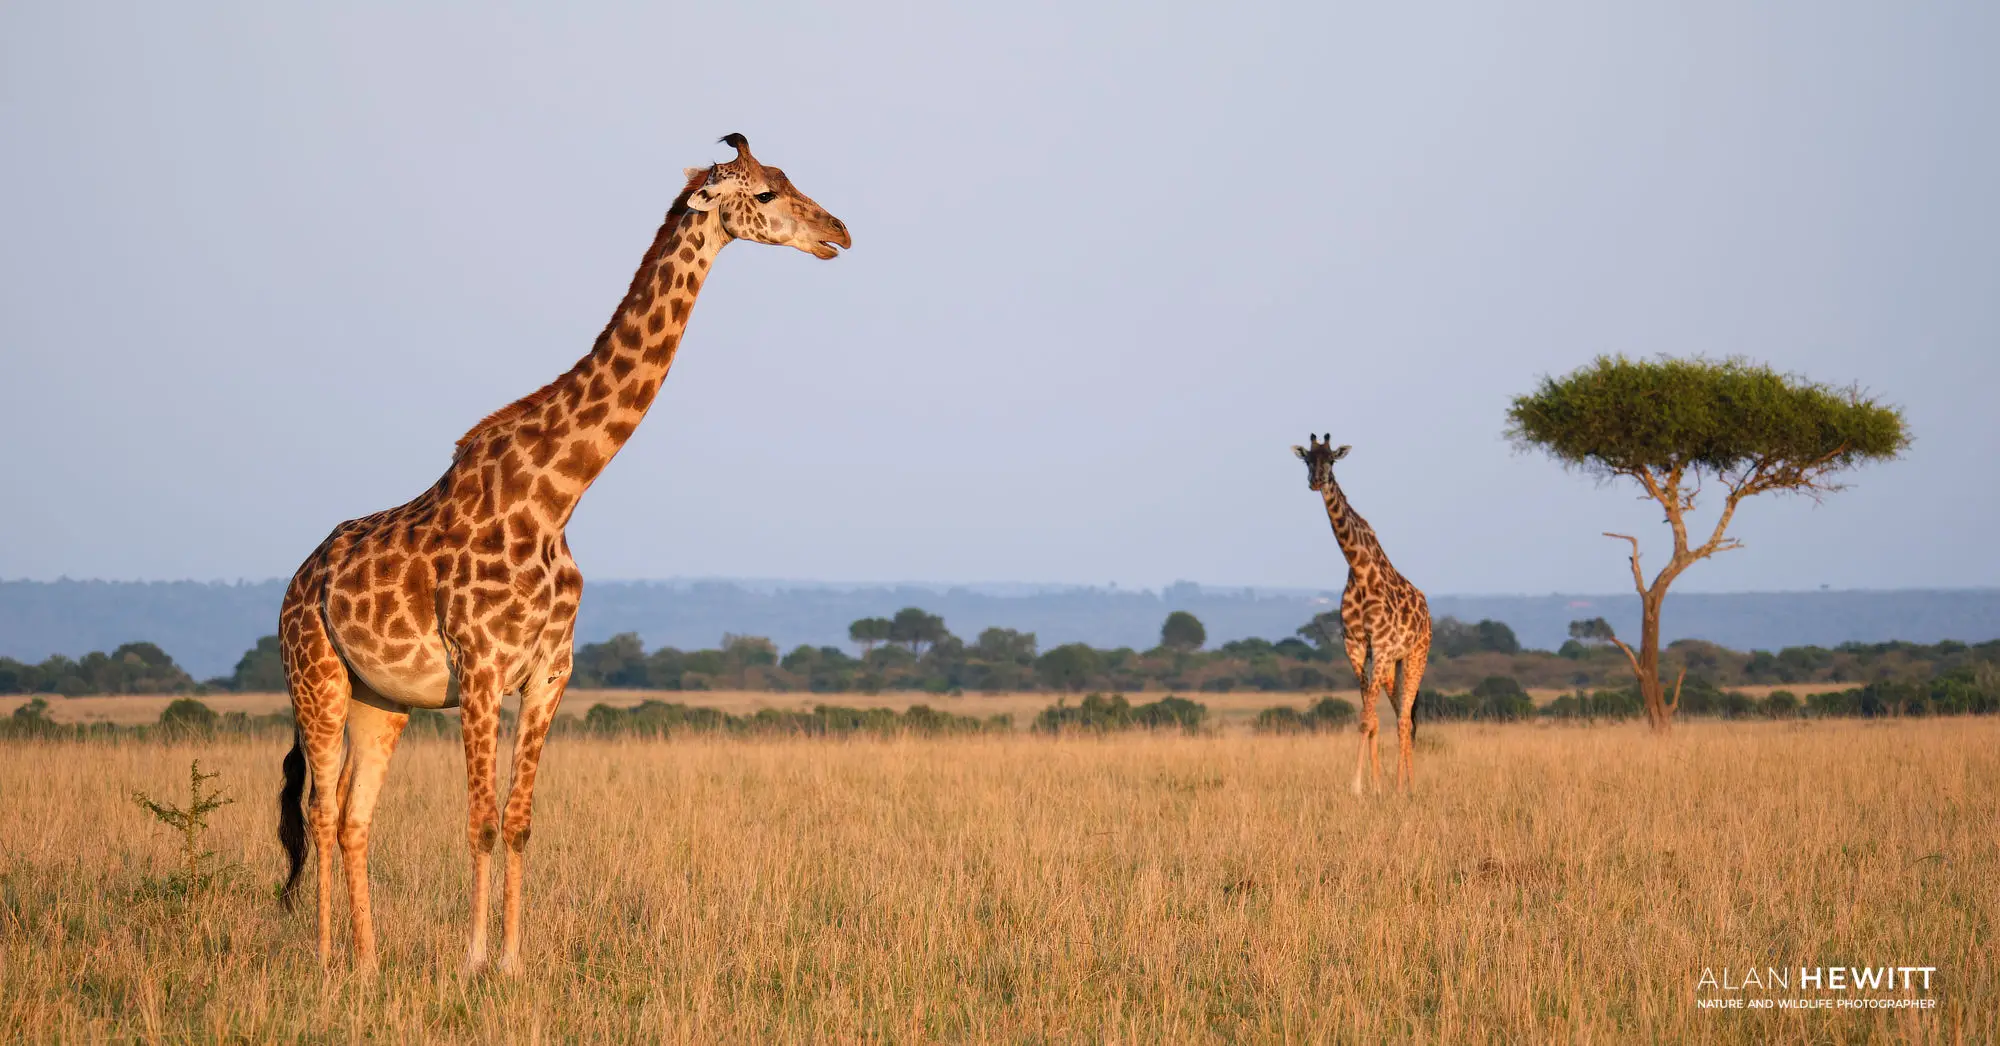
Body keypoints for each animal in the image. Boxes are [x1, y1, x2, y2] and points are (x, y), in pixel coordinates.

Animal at [275, 133, 849, 974]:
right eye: (766, 194)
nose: (839, 232)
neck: (555, 497)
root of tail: (297, 580)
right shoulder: (481, 669)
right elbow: (480, 820)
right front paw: (473, 959)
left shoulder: (549, 672)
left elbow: (518, 821)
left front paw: (513, 962)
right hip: (315, 677)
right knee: (318, 809)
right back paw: (322, 959)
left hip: (382, 699)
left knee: (353, 816)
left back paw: (369, 962)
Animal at [1291, 434, 1432, 795]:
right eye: (1308, 459)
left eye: (1332, 460)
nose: (1316, 481)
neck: (1358, 567)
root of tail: (1427, 611)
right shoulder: (1355, 646)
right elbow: (1369, 719)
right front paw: (1373, 785)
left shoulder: (1379, 645)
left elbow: (1368, 718)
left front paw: (1359, 786)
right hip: (1391, 664)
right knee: (1399, 714)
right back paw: (1400, 784)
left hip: (1415, 655)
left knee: (1405, 717)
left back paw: (1407, 787)